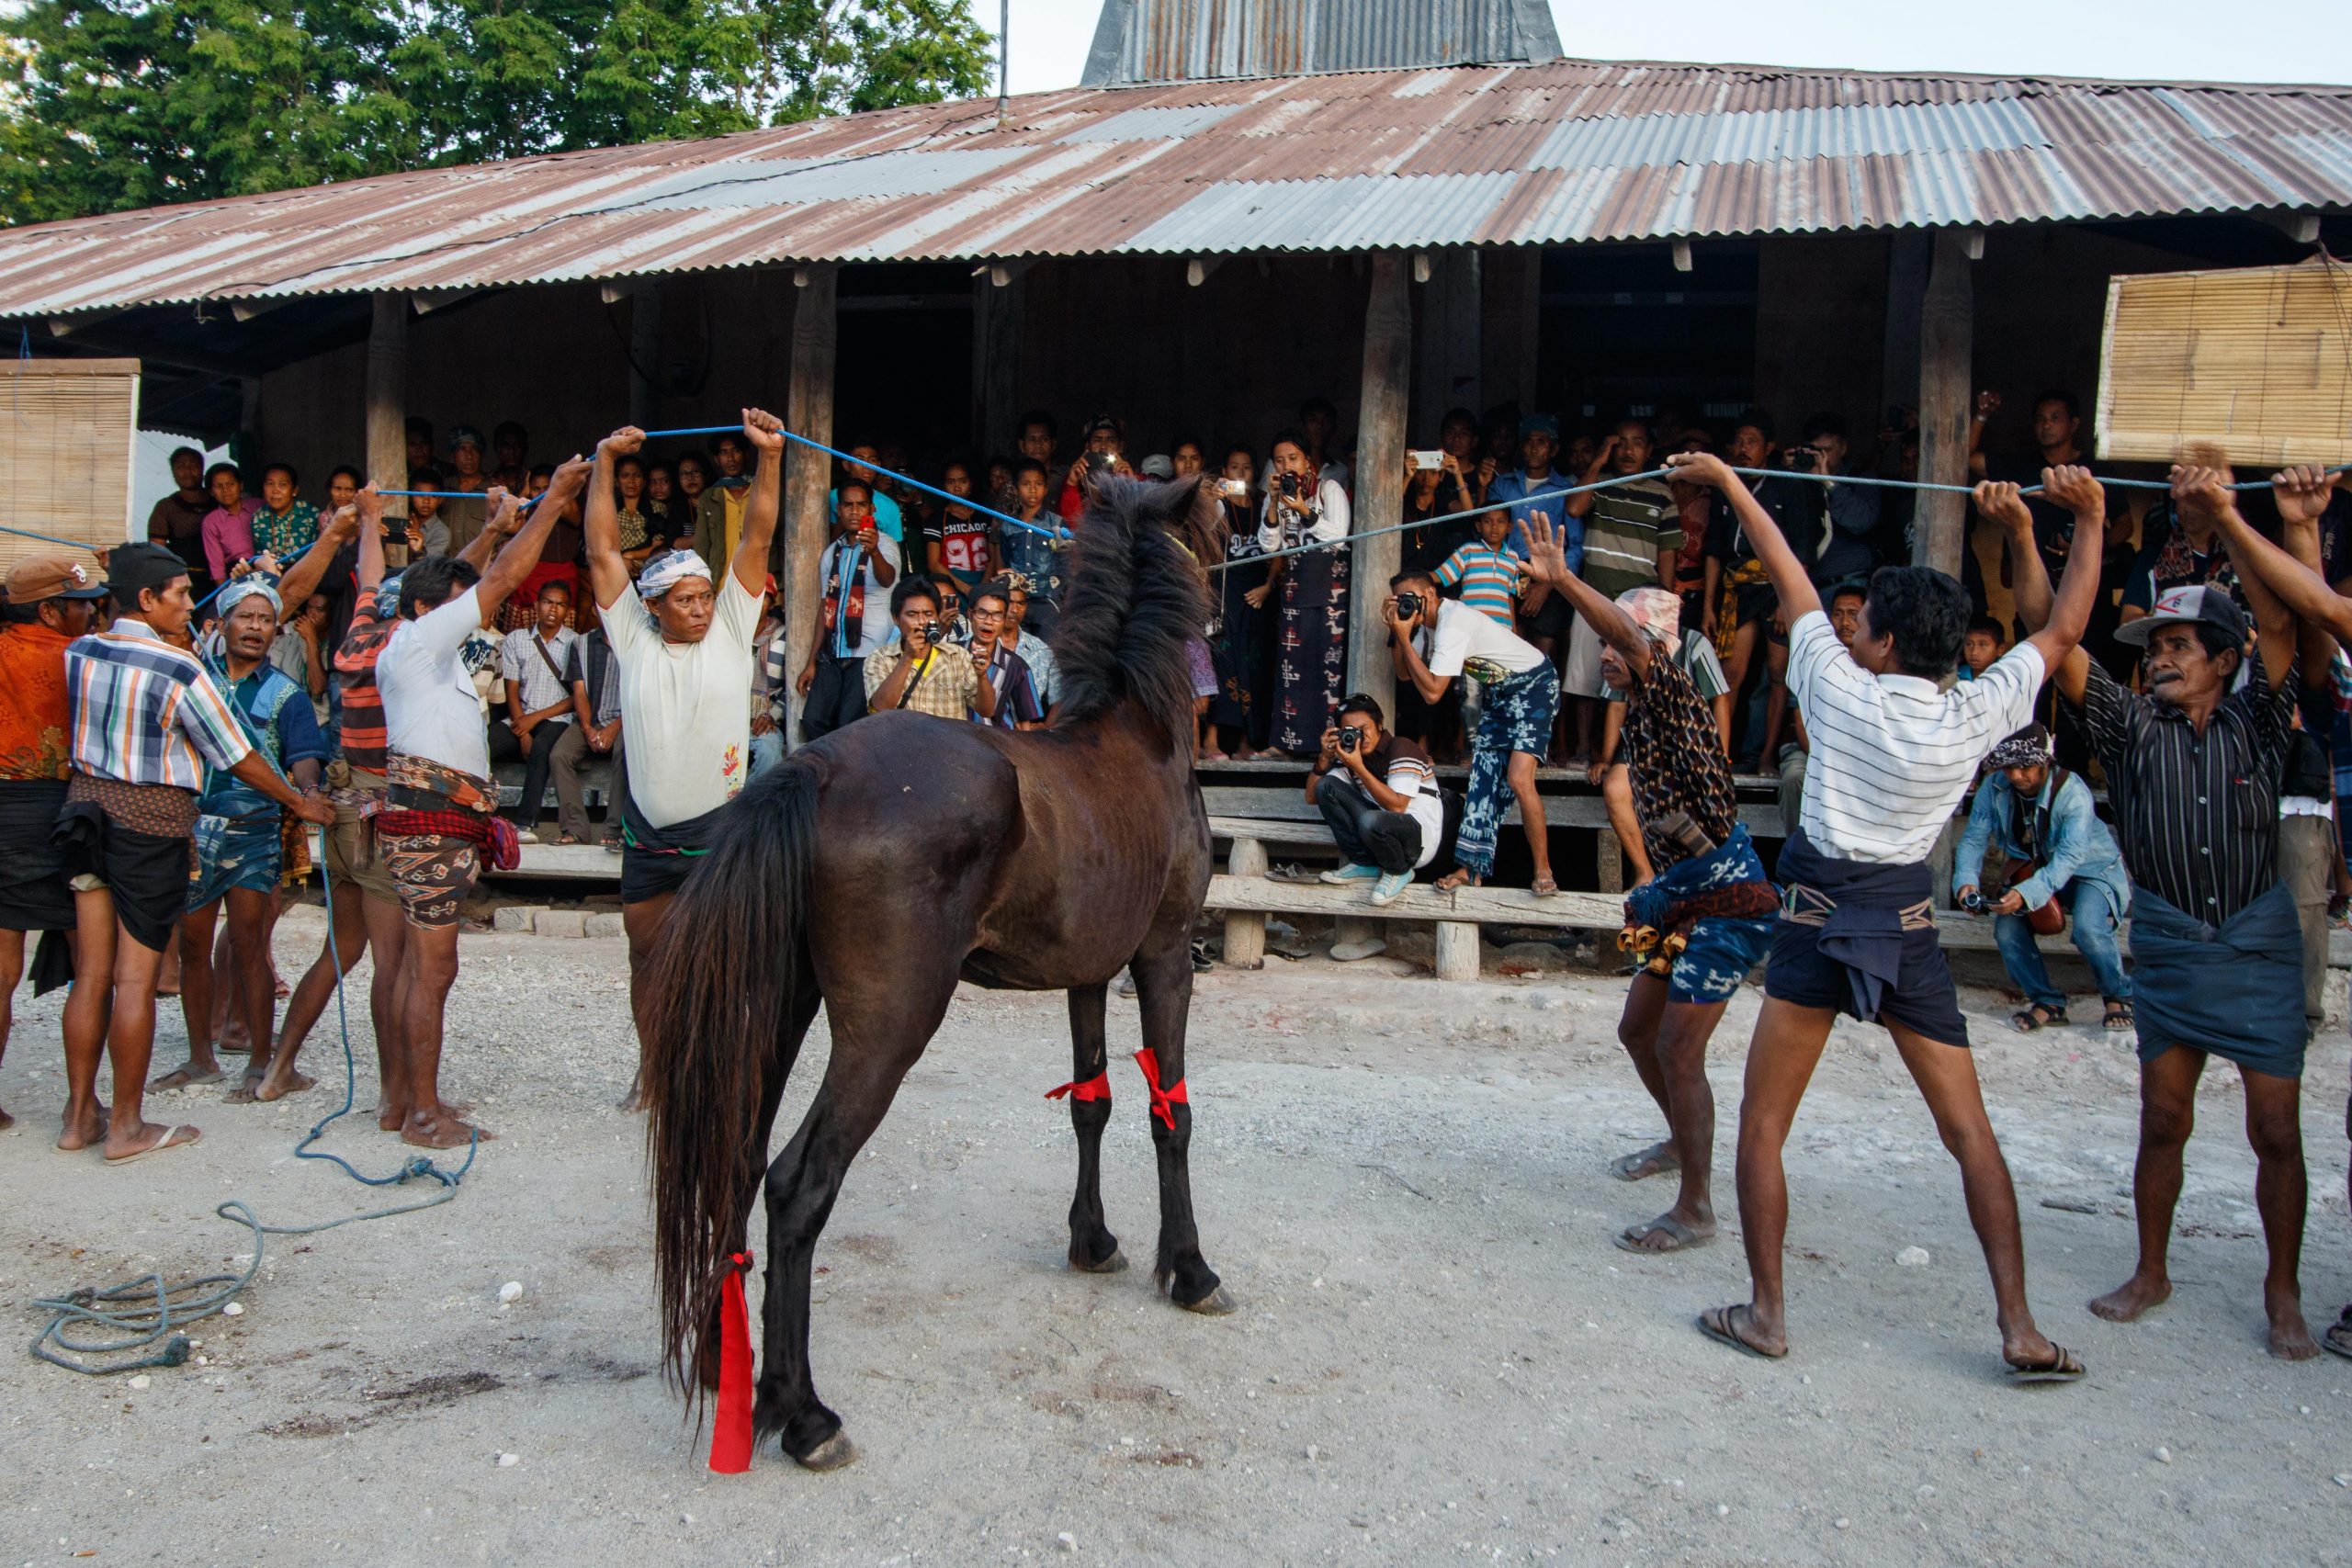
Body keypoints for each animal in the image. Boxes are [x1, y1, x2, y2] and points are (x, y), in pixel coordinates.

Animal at [644, 469, 1232, 1476]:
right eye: (1213, 523)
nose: (1233, 592)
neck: (1134, 733)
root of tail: (812, 770)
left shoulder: (1087, 973)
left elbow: (1091, 1102)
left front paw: (1092, 1241)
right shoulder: (1160, 959)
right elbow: (1172, 1113)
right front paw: (1188, 1269)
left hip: (777, 1010)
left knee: (737, 1162)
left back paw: (736, 1367)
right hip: (888, 1026)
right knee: (797, 1184)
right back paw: (804, 1413)